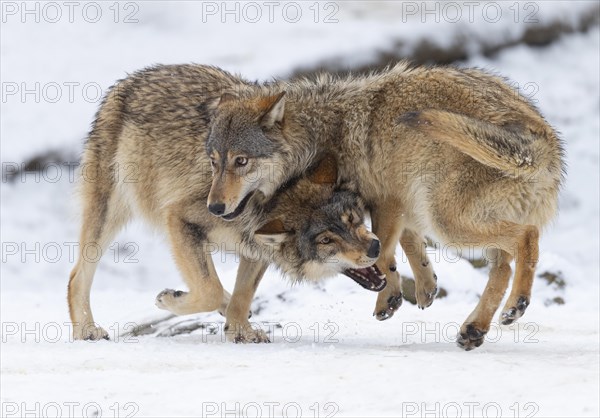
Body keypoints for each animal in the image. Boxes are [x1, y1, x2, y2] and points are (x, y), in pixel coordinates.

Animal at [67, 65, 384, 344]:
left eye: (353, 220)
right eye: (326, 240)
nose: (375, 248)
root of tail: (131, 80)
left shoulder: (255, 247)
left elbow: (240, 295)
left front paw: (240, 330)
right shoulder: (180, 218)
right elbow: (210, 289)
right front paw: (172, 300)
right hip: (107, 216)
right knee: (76, 277)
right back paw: (86, 330)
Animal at [205, 62, 564, 350]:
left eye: (241, 161)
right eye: (214, 162)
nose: (215, 207)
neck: (321, 137)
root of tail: (540, 139)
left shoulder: (385, 201)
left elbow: (384, 253)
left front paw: (388, 297)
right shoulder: (402, 204)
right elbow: (406, 247)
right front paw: (424, 288)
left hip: (447, 223)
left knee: (526, 237)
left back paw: (517, 304)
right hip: (454, 220)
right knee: (503, 267)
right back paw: (475, 328)